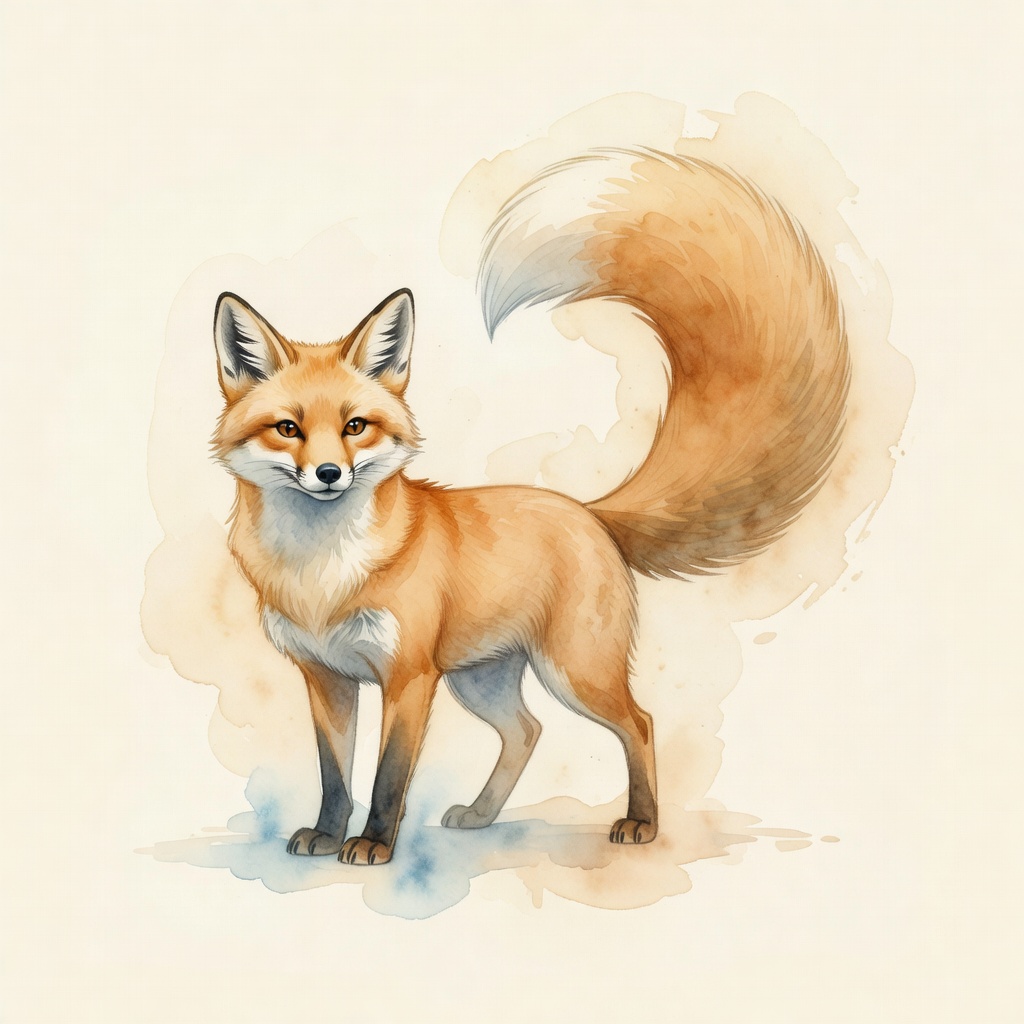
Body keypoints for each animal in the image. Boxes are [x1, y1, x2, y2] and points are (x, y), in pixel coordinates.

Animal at [211, 148, 850, 866]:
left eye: (355, 427)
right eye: (288, 429)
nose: (328, 474)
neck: (322, 575)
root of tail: (588, 511)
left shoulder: (409, 677)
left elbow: (388, 777)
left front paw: (373, 844)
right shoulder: (327, 679)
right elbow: (334, 774)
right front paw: (325, 834)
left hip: (572, 670)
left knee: (640, 723)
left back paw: (642, 823)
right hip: (482, 680)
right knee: (527, 731)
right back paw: (483, 815)